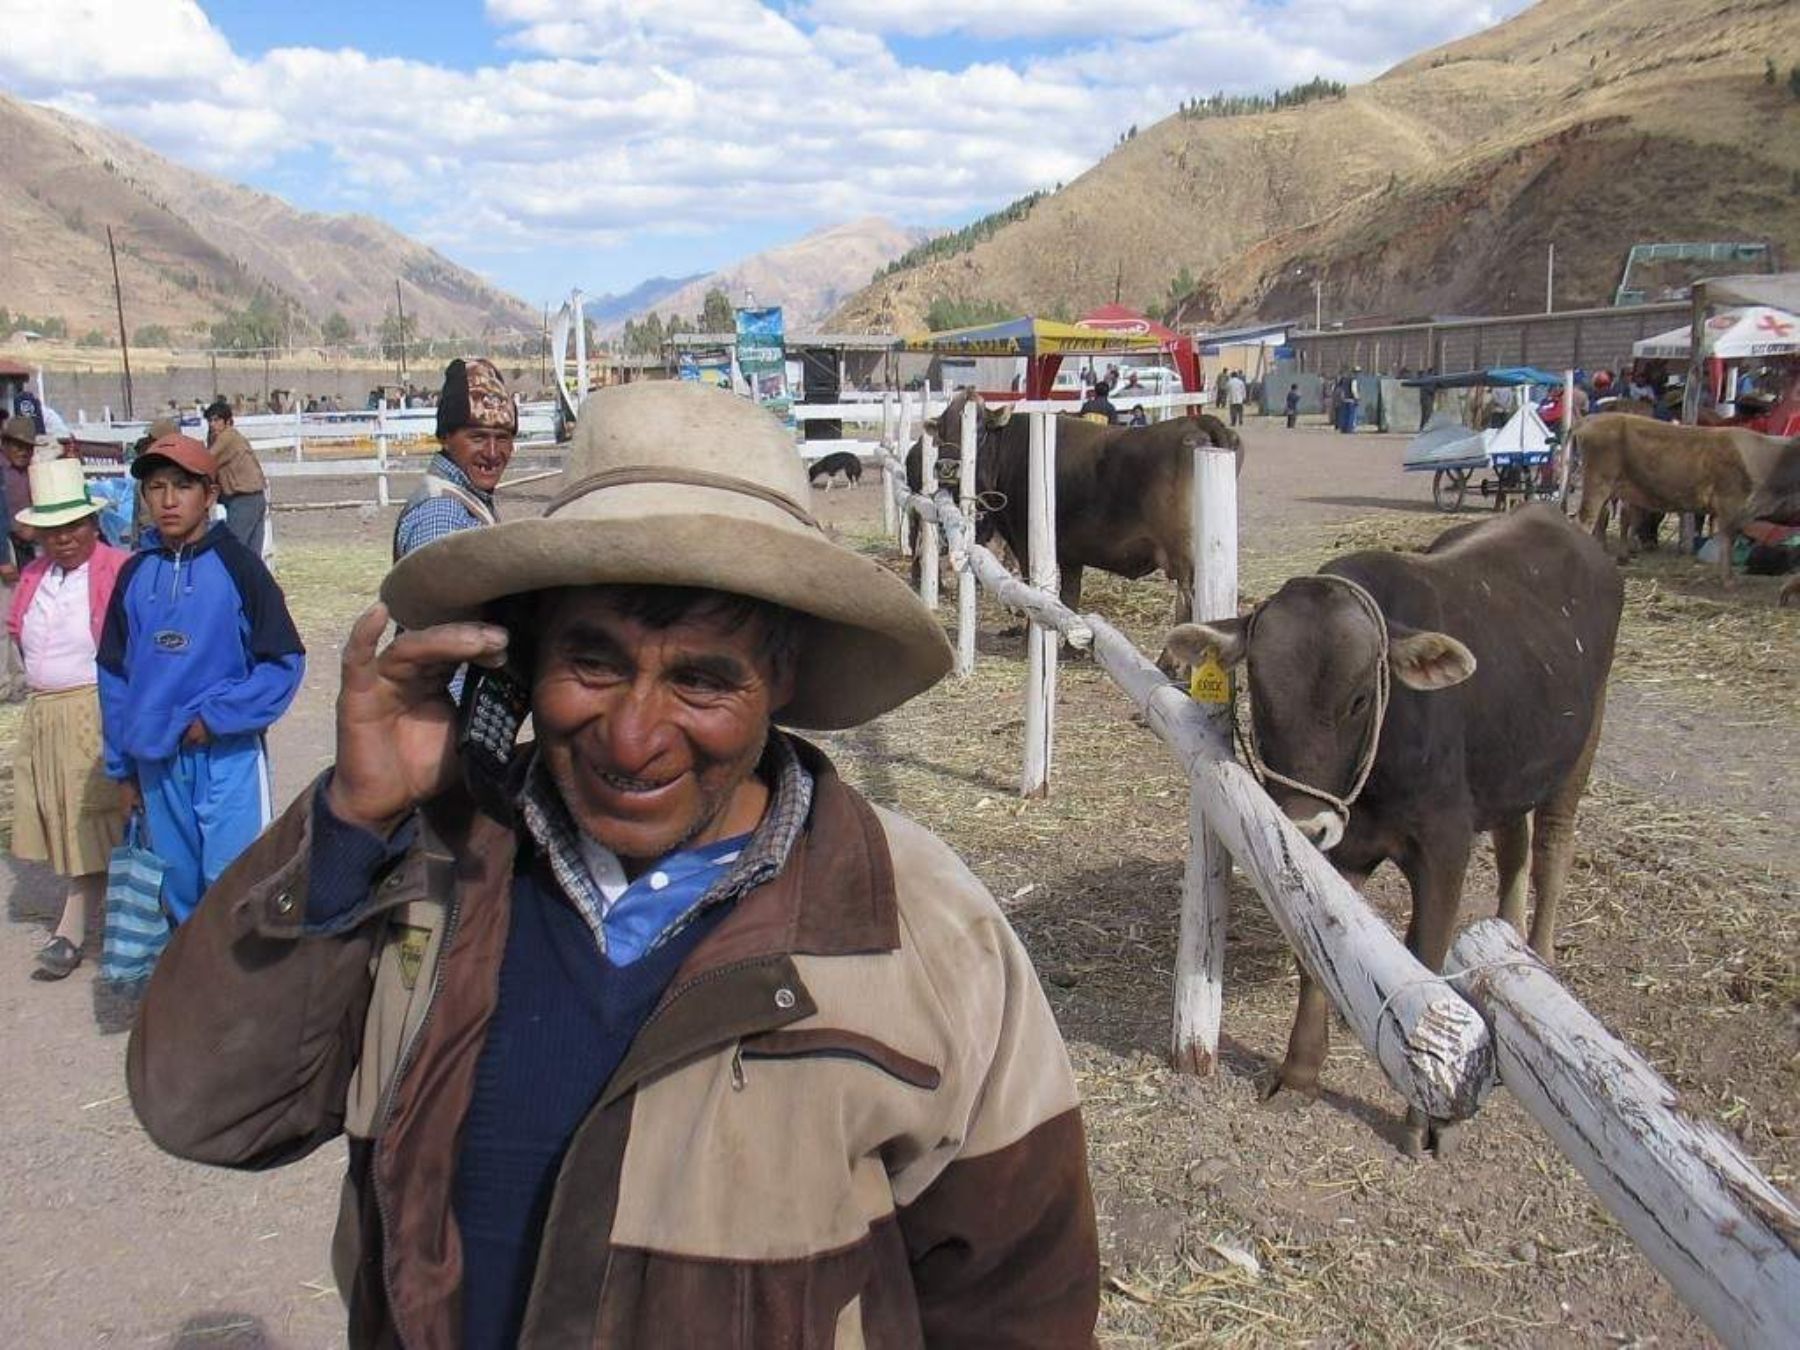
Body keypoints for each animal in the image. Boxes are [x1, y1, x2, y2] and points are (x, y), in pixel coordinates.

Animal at [1576, 412, 1800, 583]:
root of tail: (1589, 420)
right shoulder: (1730, 504)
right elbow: (1728, 541)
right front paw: (1728, 579)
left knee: (1603, 519)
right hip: (1597, 484)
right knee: (1586, 521)